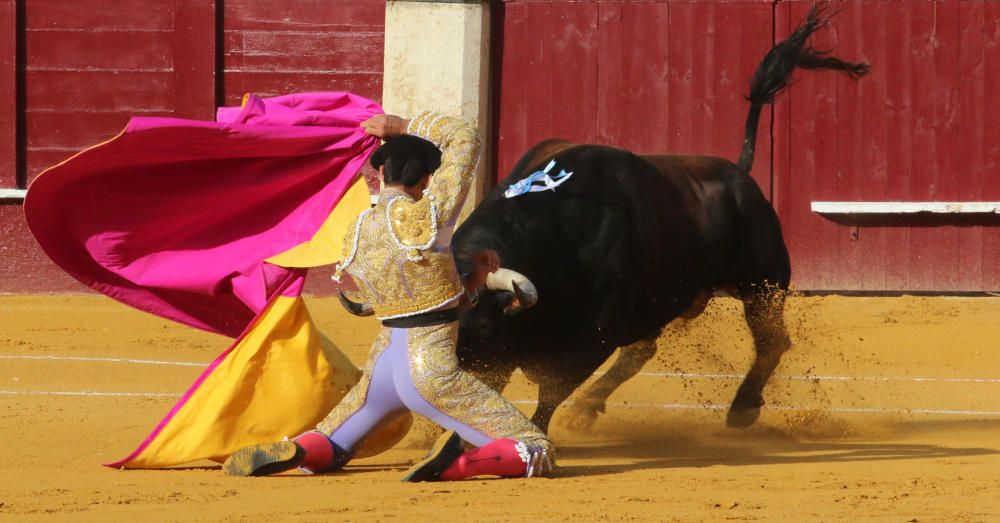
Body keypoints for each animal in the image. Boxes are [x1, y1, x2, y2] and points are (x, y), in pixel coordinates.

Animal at [448, 6, 868, 436]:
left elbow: (551, 391)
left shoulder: (593, 336)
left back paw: (742, 408)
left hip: (762, 283)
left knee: (772, 340)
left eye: (478, 326)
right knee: (645, 350)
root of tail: (741, 172)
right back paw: (588, 407)